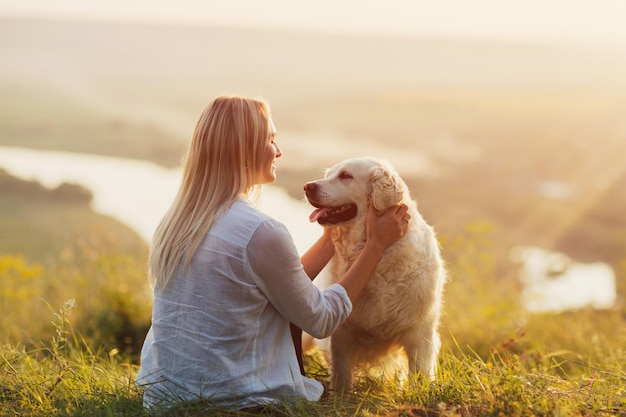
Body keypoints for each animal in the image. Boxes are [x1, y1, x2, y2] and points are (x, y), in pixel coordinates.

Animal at [302, 156, 444, 390]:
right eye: (327, 175)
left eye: (345, 175)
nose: (307, 187)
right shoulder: (342, 333)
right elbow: (342, 373)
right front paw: (341, 395)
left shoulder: (419, 330)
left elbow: (419, 373)